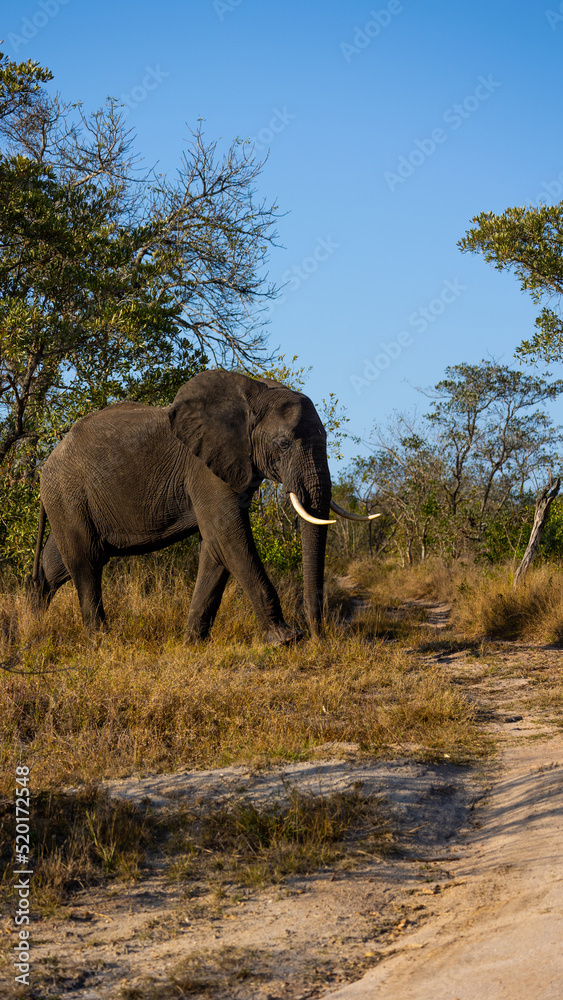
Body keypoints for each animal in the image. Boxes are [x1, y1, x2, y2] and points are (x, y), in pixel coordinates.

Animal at [29, 369, 377, 643]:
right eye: (282, 444)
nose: (319, 636)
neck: (255, 394)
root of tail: (47, 463)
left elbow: (215, 545)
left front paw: (193, 643)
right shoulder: (206, 469)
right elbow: (229, 537)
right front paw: (286, 640)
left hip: (69, 500)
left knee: (58, 564)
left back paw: (31, 630)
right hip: (69, 494)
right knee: (87, 561)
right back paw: (100, 641)